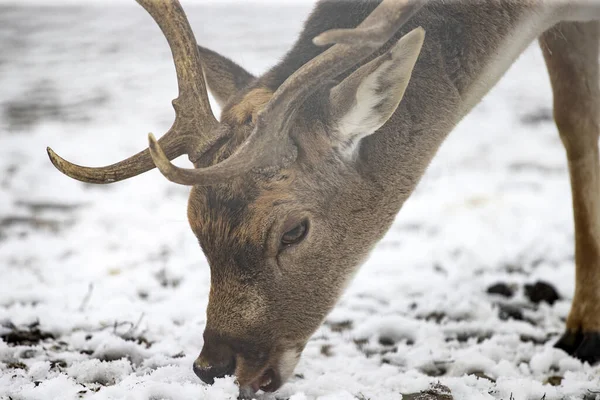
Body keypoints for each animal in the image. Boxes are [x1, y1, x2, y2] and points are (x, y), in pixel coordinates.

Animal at [45, 0, 600, 396]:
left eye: (294, 230)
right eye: (194, 223)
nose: (213, 367)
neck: (537, 8)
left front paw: (585, 334)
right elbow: (576, 126)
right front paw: (582, 330)